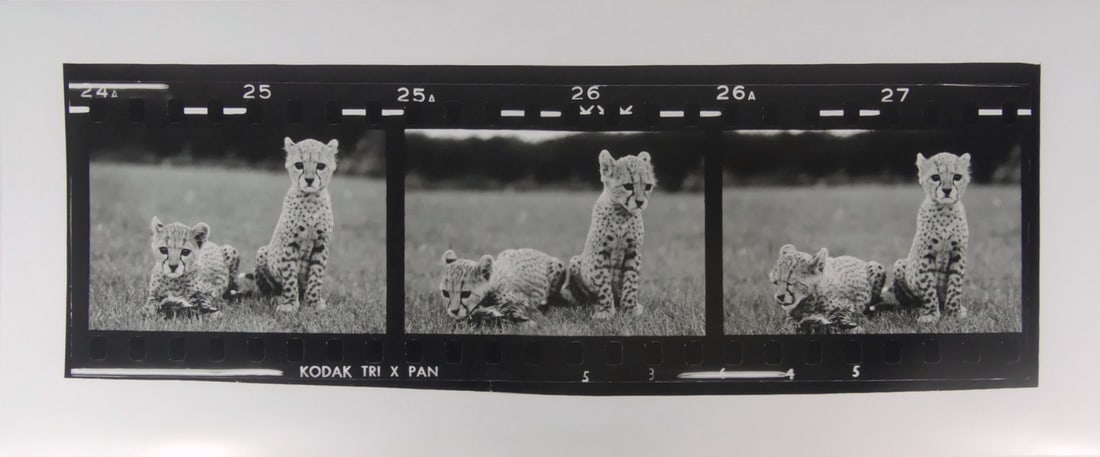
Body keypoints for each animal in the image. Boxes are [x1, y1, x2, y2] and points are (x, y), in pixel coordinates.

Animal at [238, 137, 339, 313]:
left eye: (320, 166)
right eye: (299, 165)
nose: (309, 180)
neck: (310, 199)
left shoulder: (321, 244)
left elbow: (316, 274)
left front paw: (313, 302)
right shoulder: (289, 244)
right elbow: (290, 277)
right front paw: (290, 303)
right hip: (262, 252)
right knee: (267, 289)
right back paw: (277, 296)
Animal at [560, 149, 656, 319]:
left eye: (648, 186)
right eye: (628, 186)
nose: (640, 202)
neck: (621, 212)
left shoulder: (634, 252)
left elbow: (631, 282)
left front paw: (630, 308)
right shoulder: (600, 253)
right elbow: (603, 284)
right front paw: (605, 310)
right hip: (575, 261)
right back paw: (591, 304)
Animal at [887, 152, 971, 324]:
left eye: (957, 177)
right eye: (935, 177)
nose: (947, 190)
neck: (945, 210)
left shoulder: (958, 254)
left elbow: (955, 285)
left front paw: (954, 312)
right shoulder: (925, 255)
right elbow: (928, 287)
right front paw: (931, 314)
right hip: (900, 265)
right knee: (909, 301)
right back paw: (918, 308)